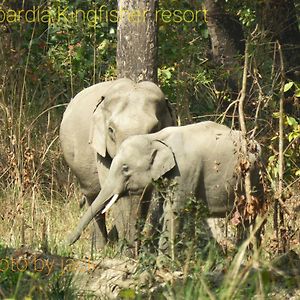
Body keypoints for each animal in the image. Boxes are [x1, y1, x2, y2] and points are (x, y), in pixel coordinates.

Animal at [59, 78, 175, 248]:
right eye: (111, 130)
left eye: (155, 129)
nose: (65, 243)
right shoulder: (100, 148)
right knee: (93, 197)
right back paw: (100, 248)